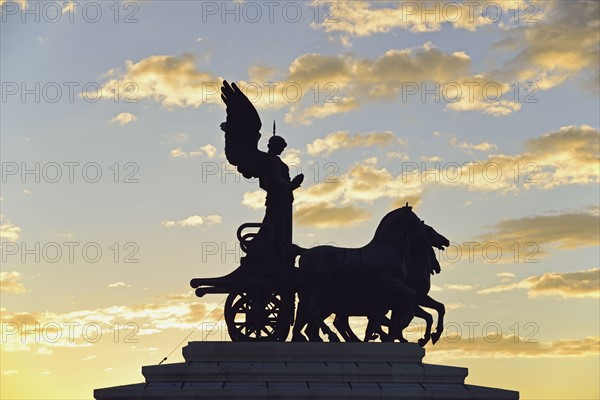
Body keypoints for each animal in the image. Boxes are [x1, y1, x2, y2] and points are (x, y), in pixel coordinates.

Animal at [288, 203, 448, 344]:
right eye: (412, 220)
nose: (445, 241)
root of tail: (305, 253)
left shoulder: (389, 297)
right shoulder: (394, 286)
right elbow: (411, 300)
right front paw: (404, 329)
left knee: (310, 319)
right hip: (321, 292)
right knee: (314, 311)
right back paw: (331, 336)